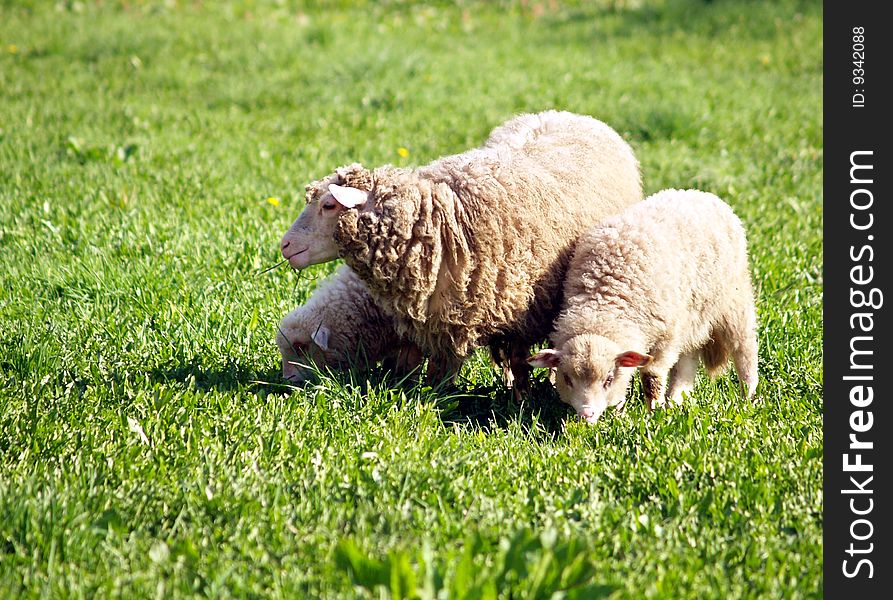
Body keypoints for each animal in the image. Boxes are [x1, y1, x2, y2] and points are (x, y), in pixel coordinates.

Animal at [528, 190, 756, 424]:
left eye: (608, 379)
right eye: (567, 378)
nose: (587, 415)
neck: (603, 299)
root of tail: (702, 194)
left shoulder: (666, 339)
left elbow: (652, 379)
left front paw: (653, 413)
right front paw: (621, 411)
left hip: (734, 301)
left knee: (744, 349)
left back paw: (747, 398)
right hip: (691, 318)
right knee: (687, 363)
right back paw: (676, 401)